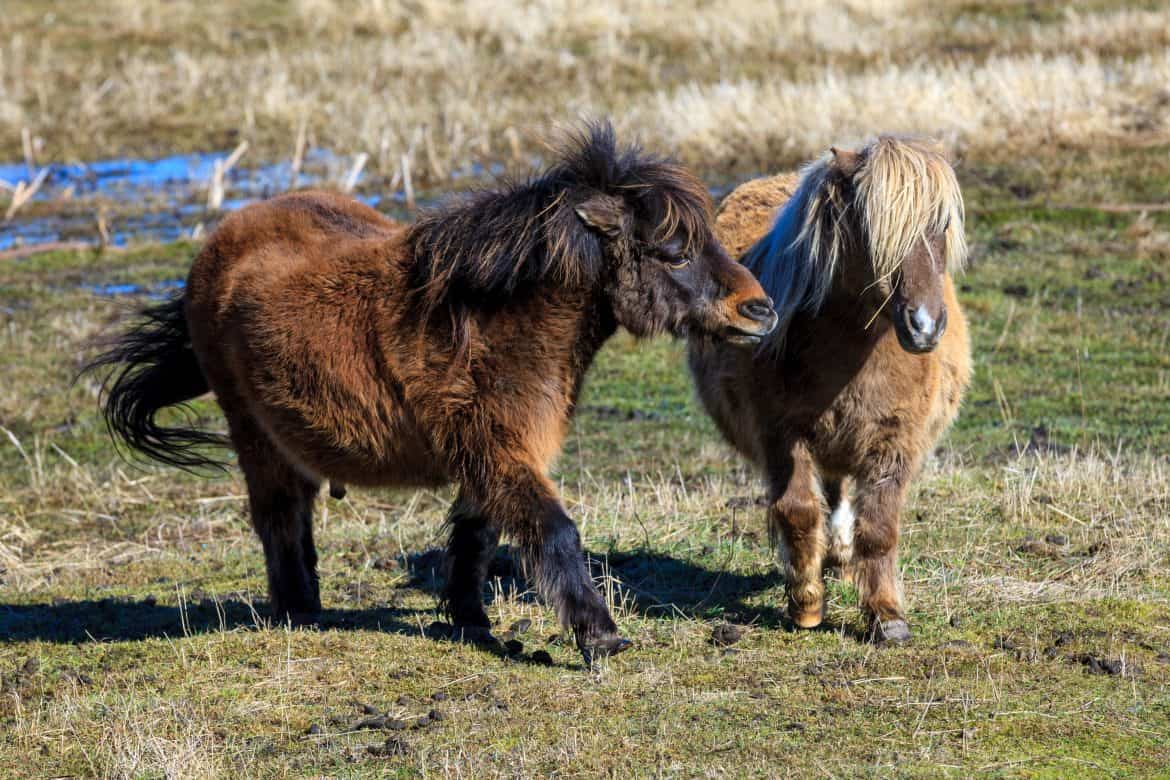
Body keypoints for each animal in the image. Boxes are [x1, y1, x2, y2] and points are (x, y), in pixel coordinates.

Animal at [85, 122, 778, 665]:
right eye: (673, 251)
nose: (761, 310)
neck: (495, 320)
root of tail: (219, 245)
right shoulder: (501, 452)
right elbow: (553, 530)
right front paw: (600, 637)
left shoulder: (490, 458)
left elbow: (477, 536)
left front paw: (470, 619)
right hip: (254, 436)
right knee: (279, 517)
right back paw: (298, 613)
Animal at [688, 136, 971, 643]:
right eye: (873, 231)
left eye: (940, 225)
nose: (924, 326)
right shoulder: (781, 434)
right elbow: (798, 510)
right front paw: (806, 604)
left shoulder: (894, 441)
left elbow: (878, 527)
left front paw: (886, 616)